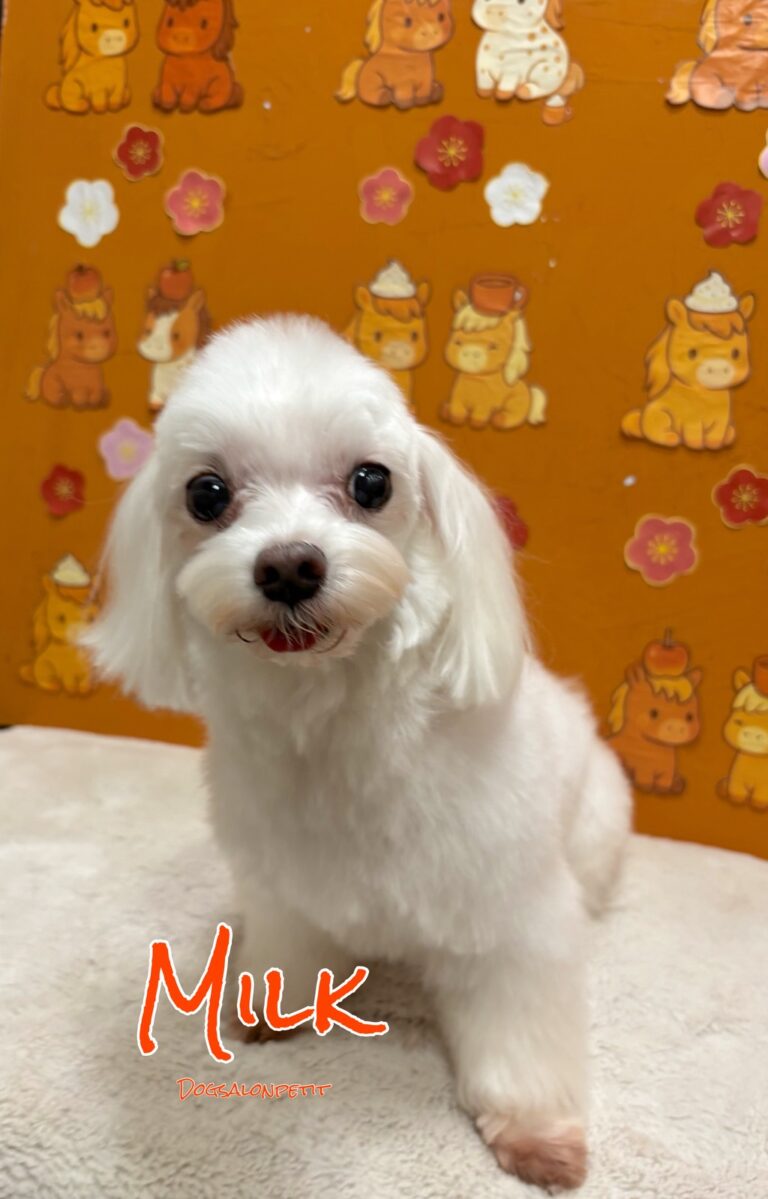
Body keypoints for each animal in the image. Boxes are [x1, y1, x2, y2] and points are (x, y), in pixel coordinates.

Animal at [85, 315, 631, 1191]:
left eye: (372, 482)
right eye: (206, 494)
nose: (289, 565)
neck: (333, 724)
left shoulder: (511, 915)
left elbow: (519, 1031)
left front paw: (536, 1132)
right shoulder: (280, 881)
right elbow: (291, 942)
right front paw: (273, 1013)